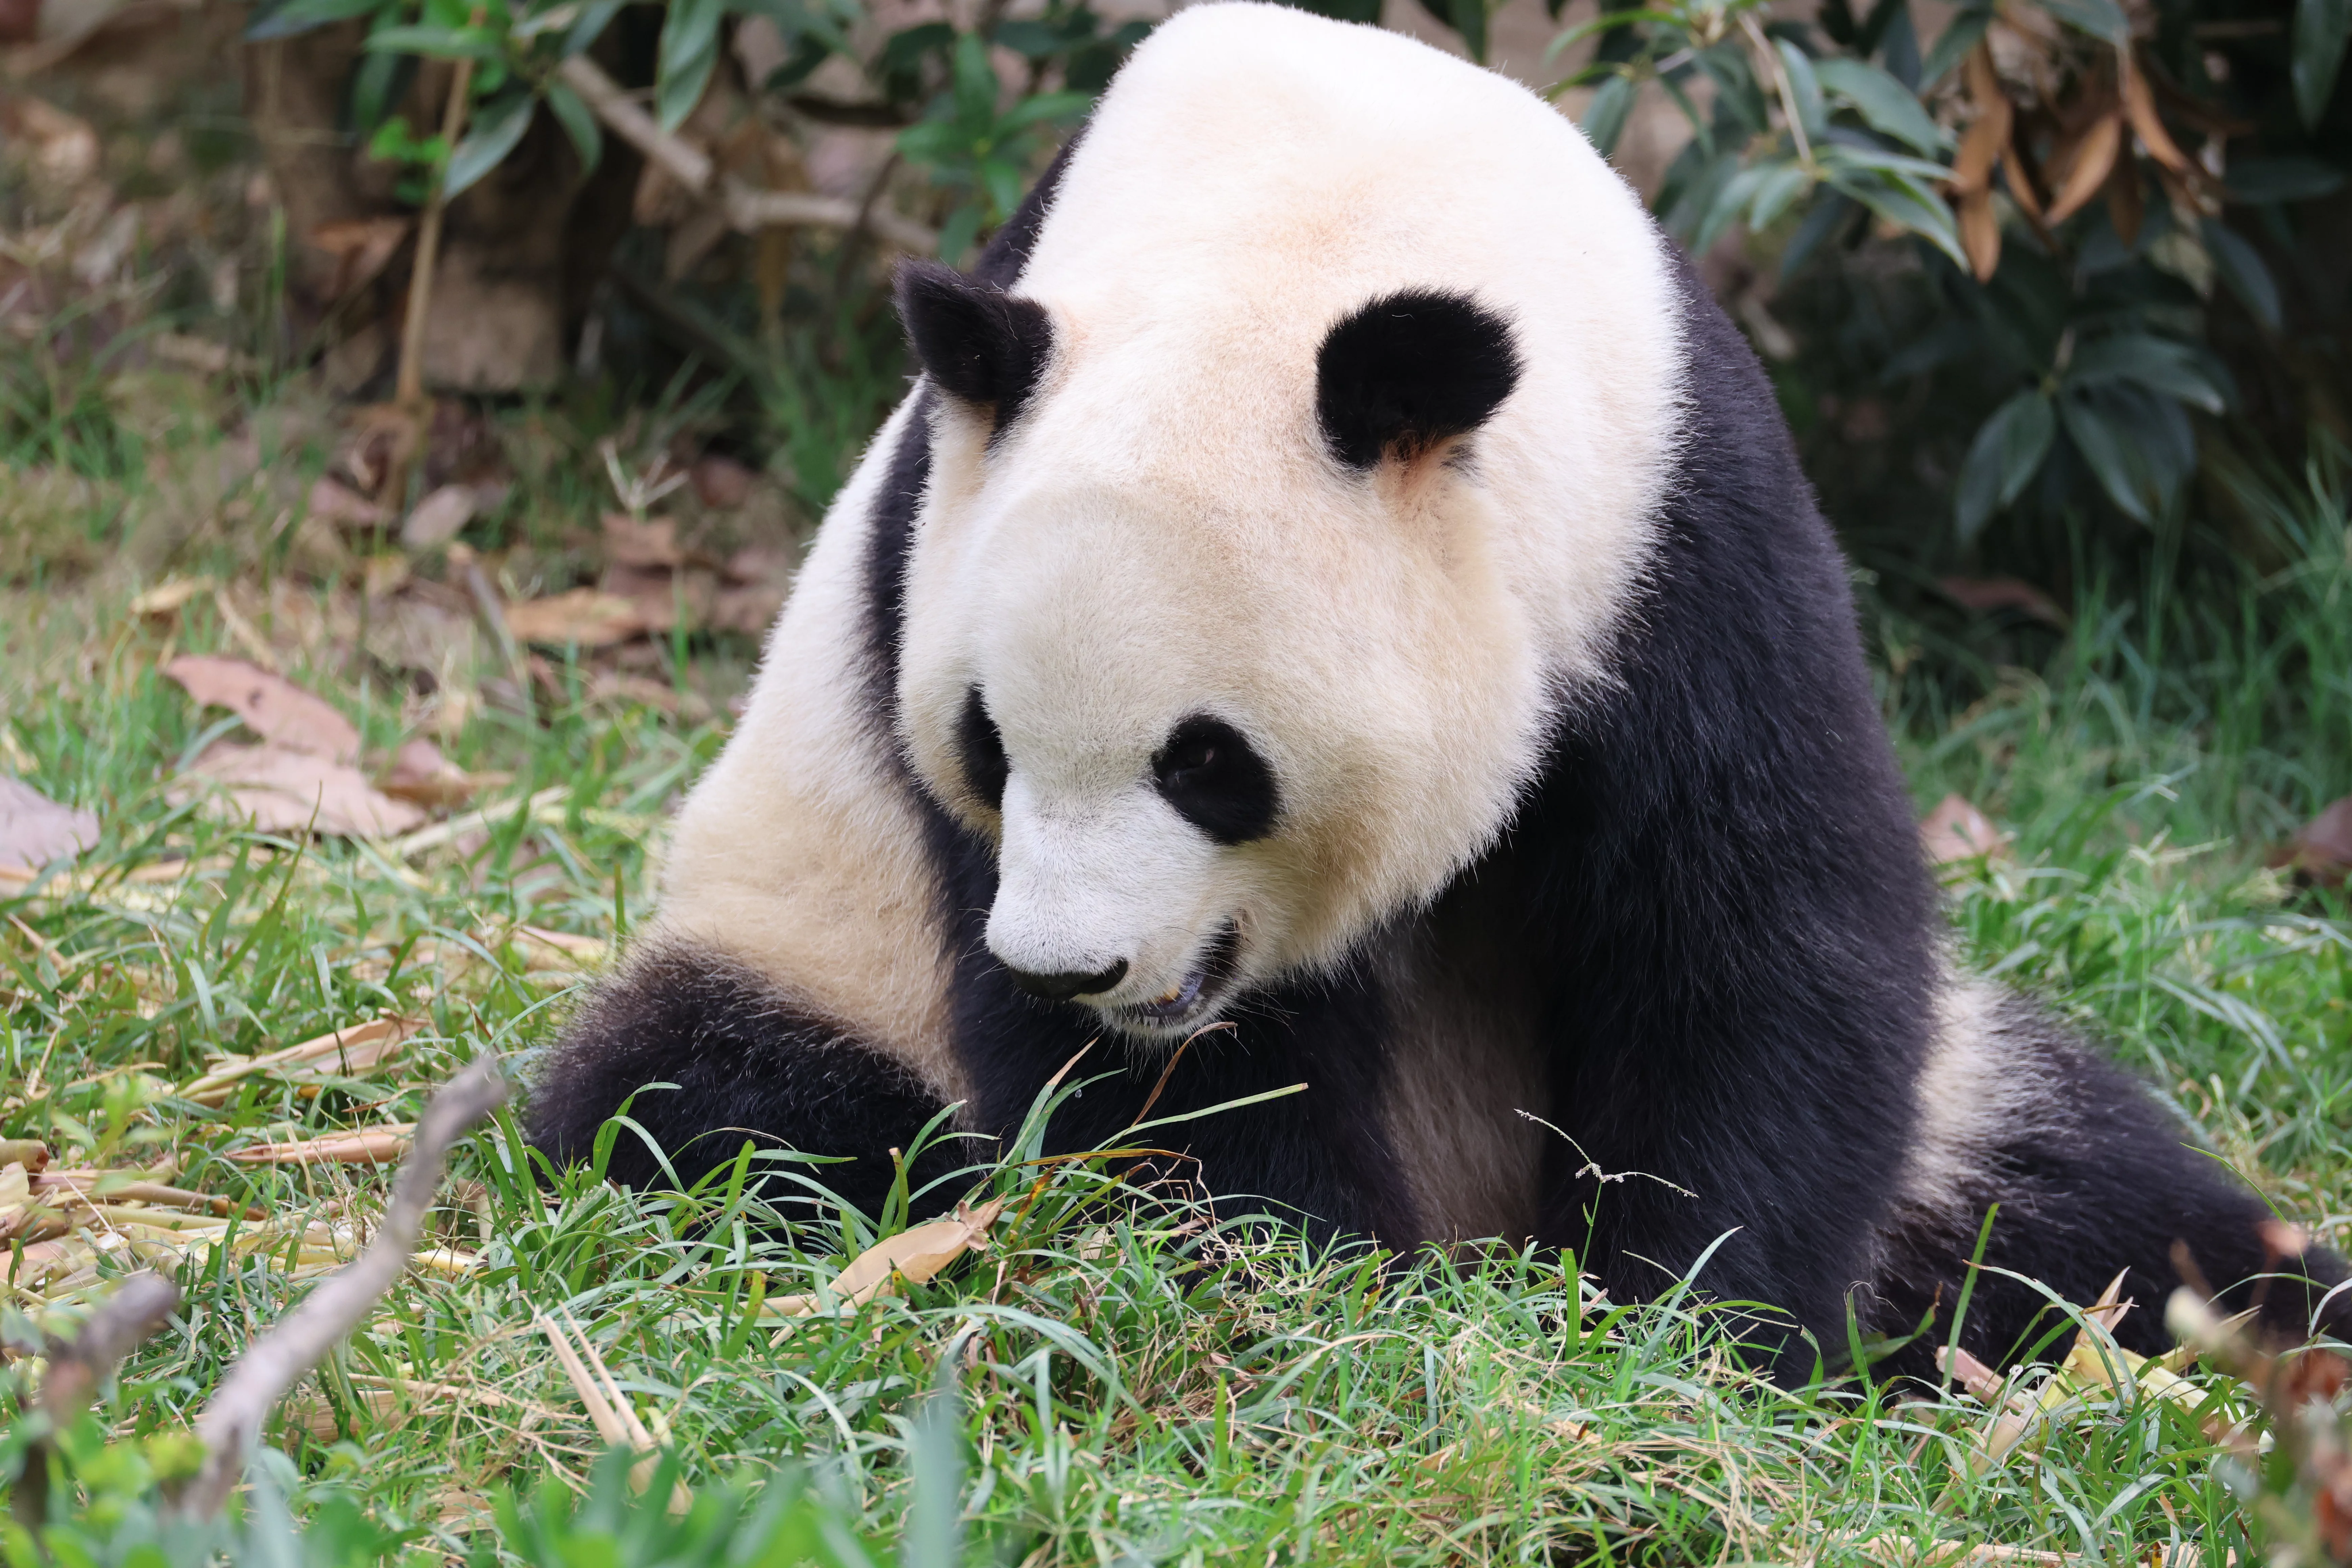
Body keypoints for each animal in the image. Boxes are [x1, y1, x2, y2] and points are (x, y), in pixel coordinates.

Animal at [526, 2, 2346, 1378]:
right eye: (986, 739)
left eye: (1210, 763)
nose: (1078, 965)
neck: (1313, 206)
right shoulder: (929, 553)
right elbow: (1167, 1092)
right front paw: (1325, 1308)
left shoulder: (1679, 531)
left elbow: (1753, 934)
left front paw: (1685, 1338)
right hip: (813, 935)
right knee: (717, 1105)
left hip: (1961, 1112)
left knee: (2085, 1200)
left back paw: (2251, 1319)